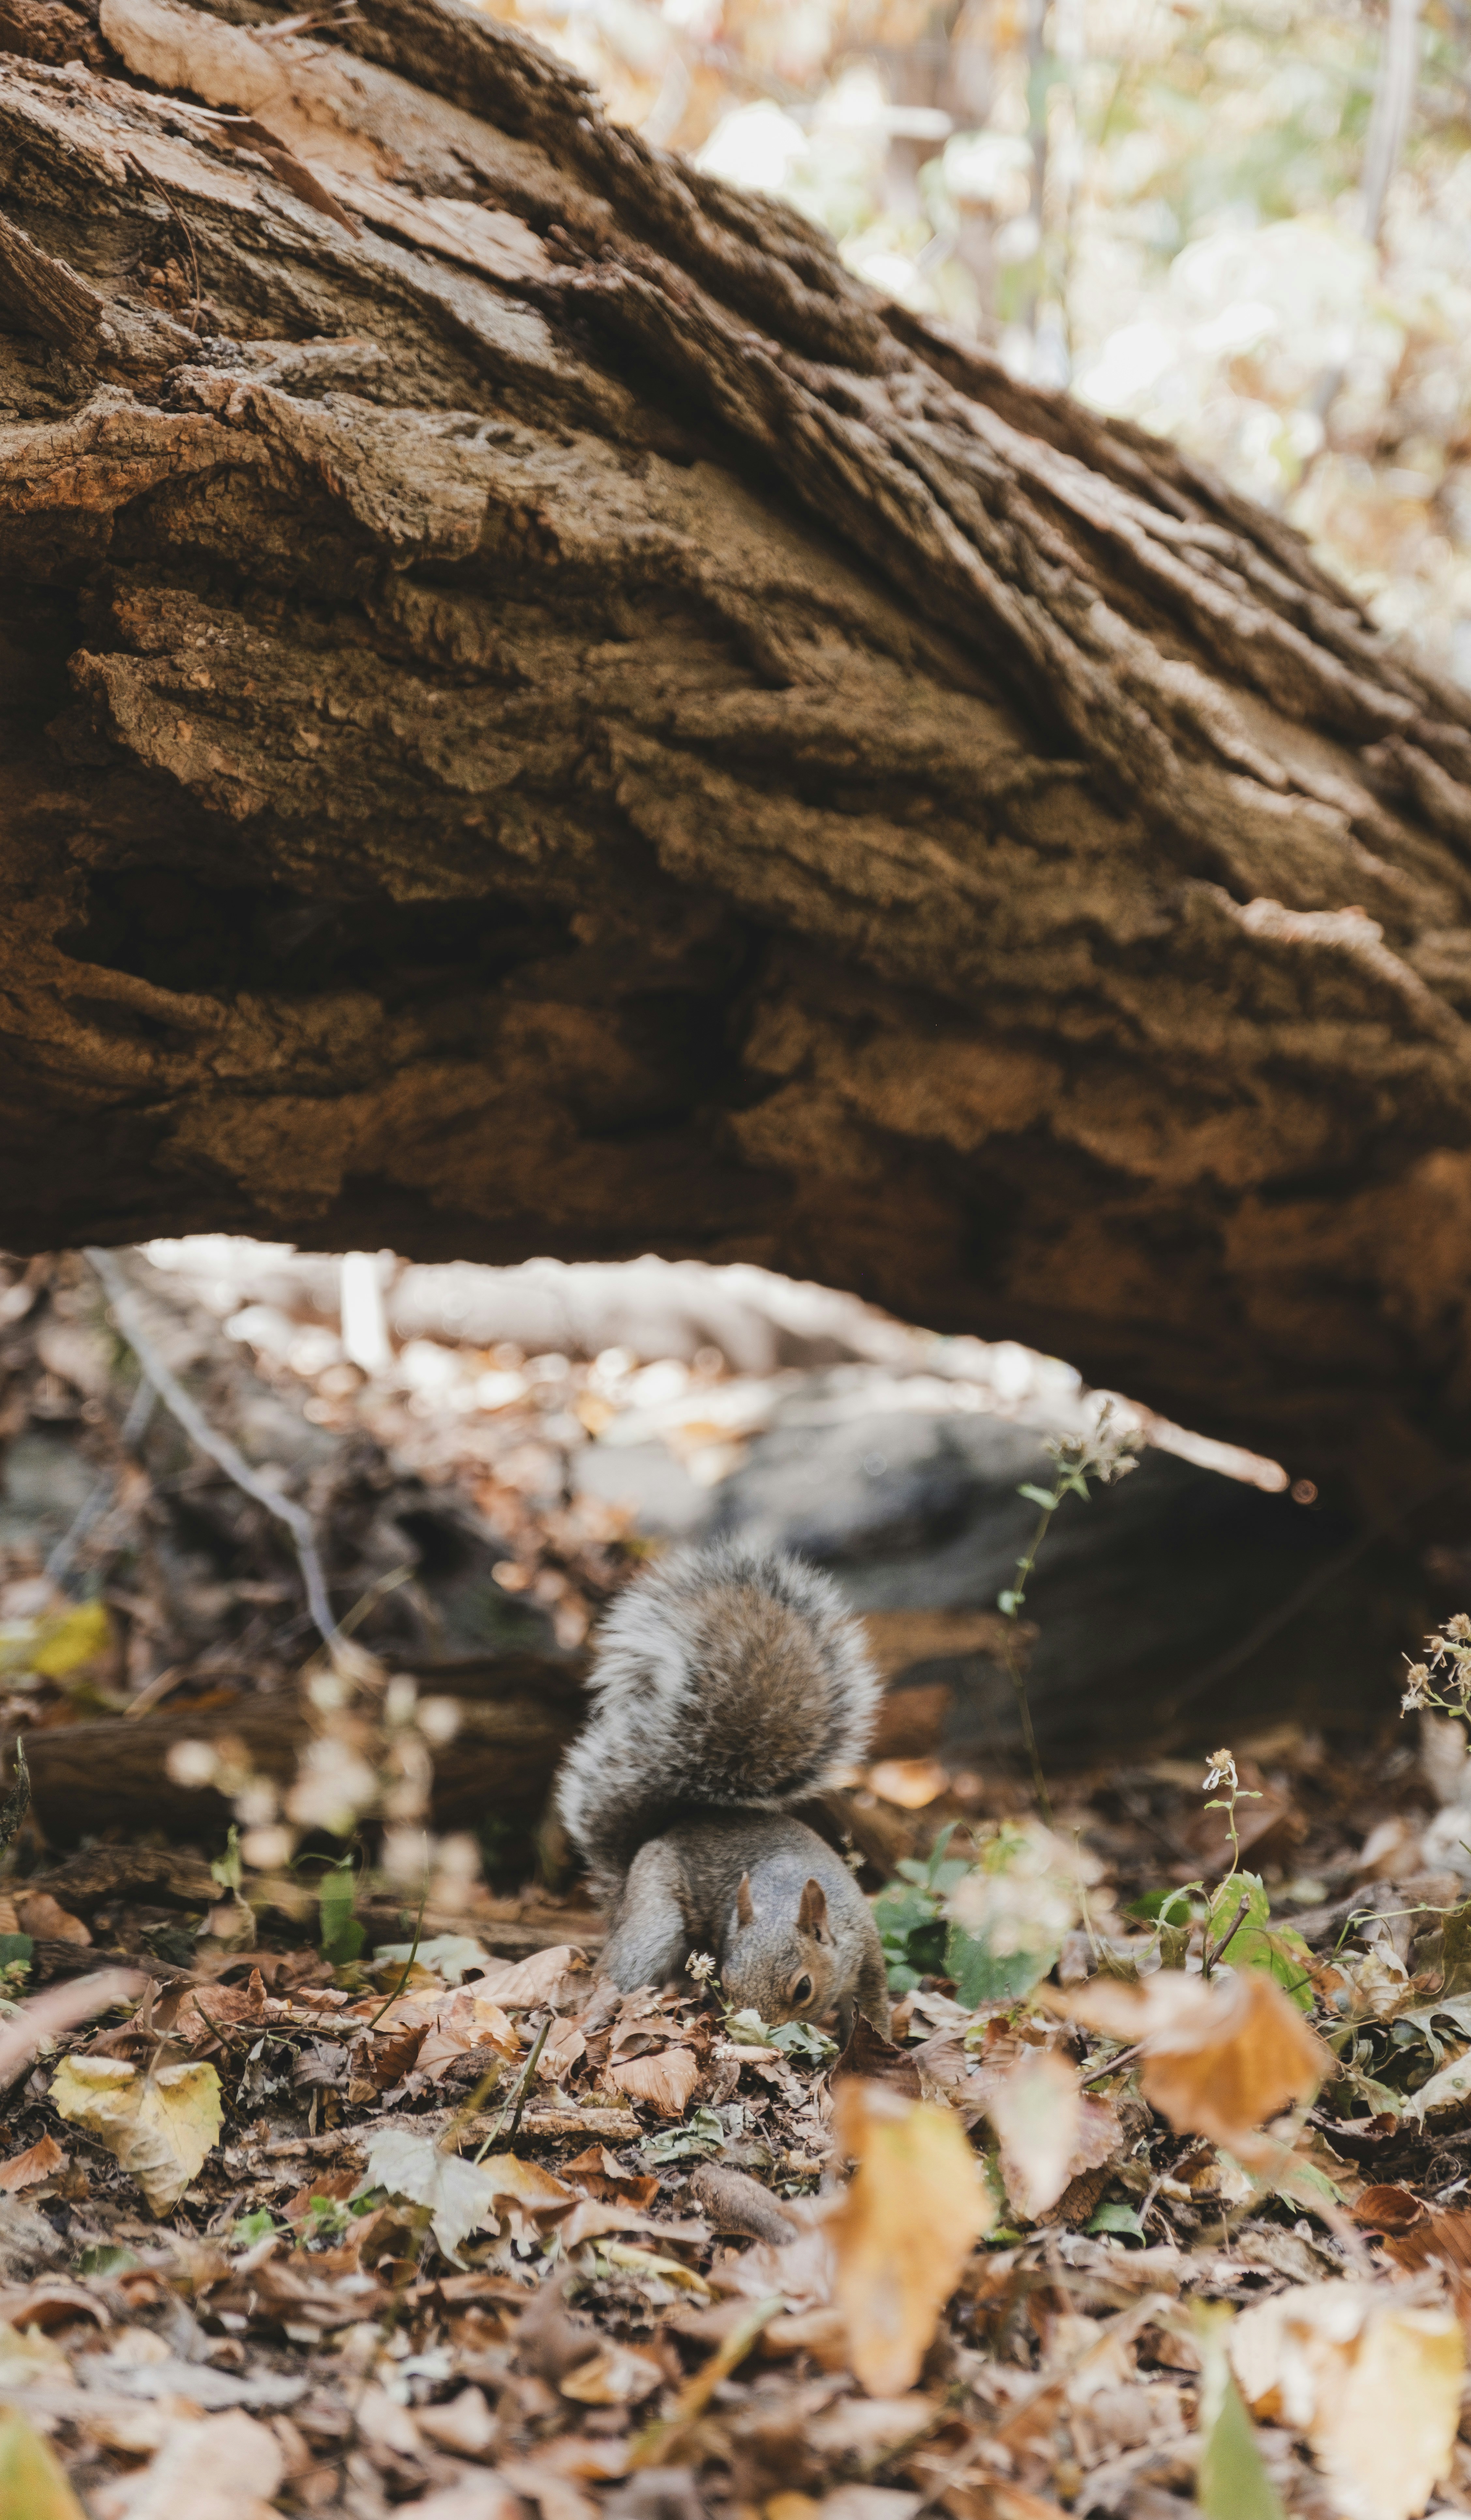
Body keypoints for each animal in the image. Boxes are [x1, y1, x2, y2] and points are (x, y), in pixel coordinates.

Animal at [555, 1540, 891, 2040]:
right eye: (726, 1983)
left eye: (803, 1989)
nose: (754, 2036)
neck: (786, 1900)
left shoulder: (866, 1954)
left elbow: (874, 2009)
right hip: (654, 1922)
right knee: (619, 1970)